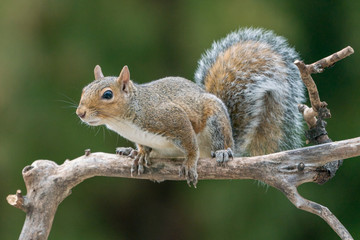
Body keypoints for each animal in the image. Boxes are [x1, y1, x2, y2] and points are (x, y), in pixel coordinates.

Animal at [75, 27, 304, 187]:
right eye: (84, 89)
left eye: (107, 95)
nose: (80, 113)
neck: (128, 120)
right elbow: (143, 147)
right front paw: (139, 154)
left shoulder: (172, 117)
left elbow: (190, 143)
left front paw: (190, 163)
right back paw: (128, 151)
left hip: (216, 123)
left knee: (218, 145)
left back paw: (223, 152)